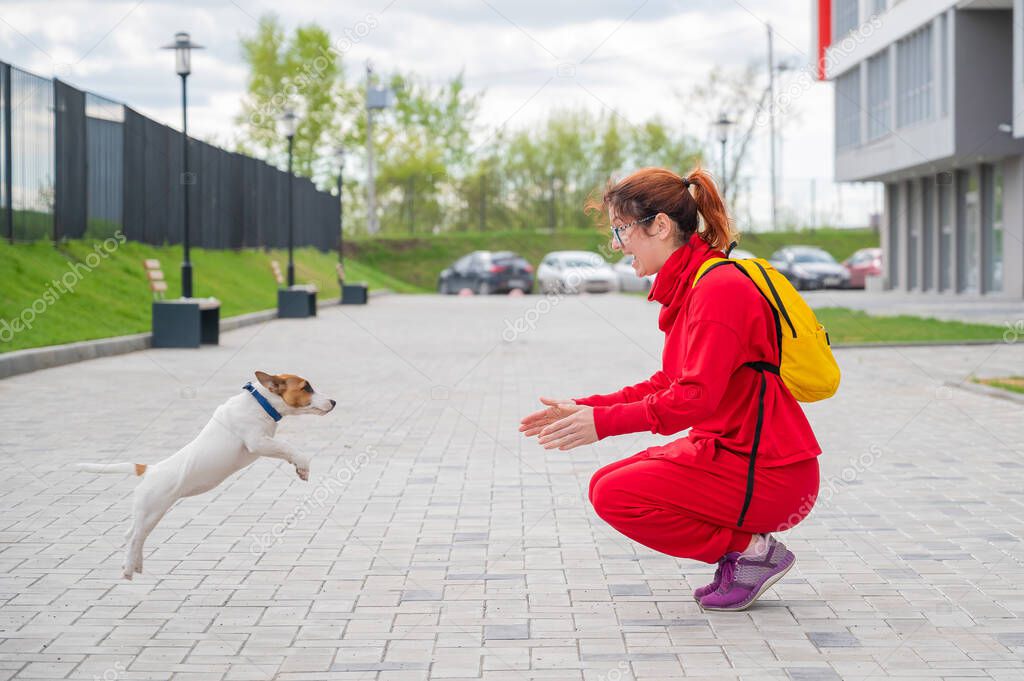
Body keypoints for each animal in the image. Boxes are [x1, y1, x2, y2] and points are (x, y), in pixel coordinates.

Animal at [80, 372, 335, 577]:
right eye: (306, 387)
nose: (333, 401)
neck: (260, 403)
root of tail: (150, 469)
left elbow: (285, 449)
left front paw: (299, 467)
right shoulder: (258, 442)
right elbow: (288, 447)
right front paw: (303, 466)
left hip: (150, 513)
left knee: (134, 534)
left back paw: (136, 565)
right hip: (151, 510)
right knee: (133, 537)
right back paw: (127, 570)